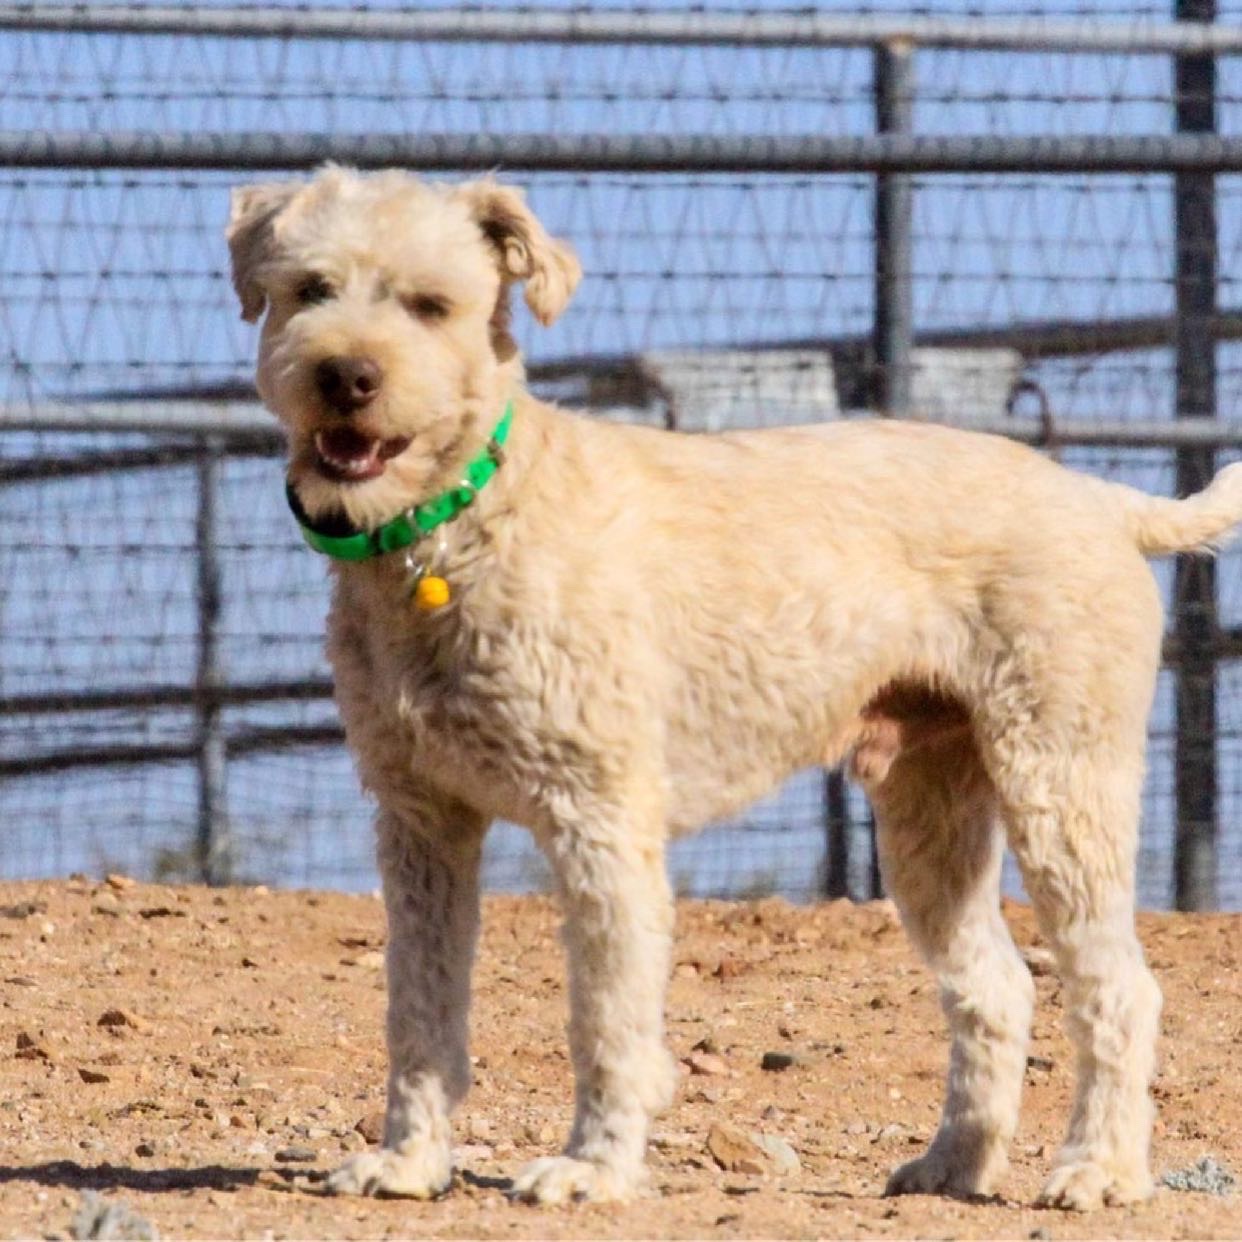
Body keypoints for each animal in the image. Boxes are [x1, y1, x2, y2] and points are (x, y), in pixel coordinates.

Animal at [227, 165, 1242, 1209]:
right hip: (932, 812)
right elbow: (418, 1009)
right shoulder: (421, 820)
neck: (466, 520)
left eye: (432, 305)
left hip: (1062, 782)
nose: (346, 376)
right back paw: (953, 1162)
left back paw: (1098, 1169)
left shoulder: (600, 819)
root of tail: (1109, 502)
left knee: (1120, 988)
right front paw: (407, 1161)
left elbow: (606, 1021)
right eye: (310, 289)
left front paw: (591, 1168)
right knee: (996, 985)